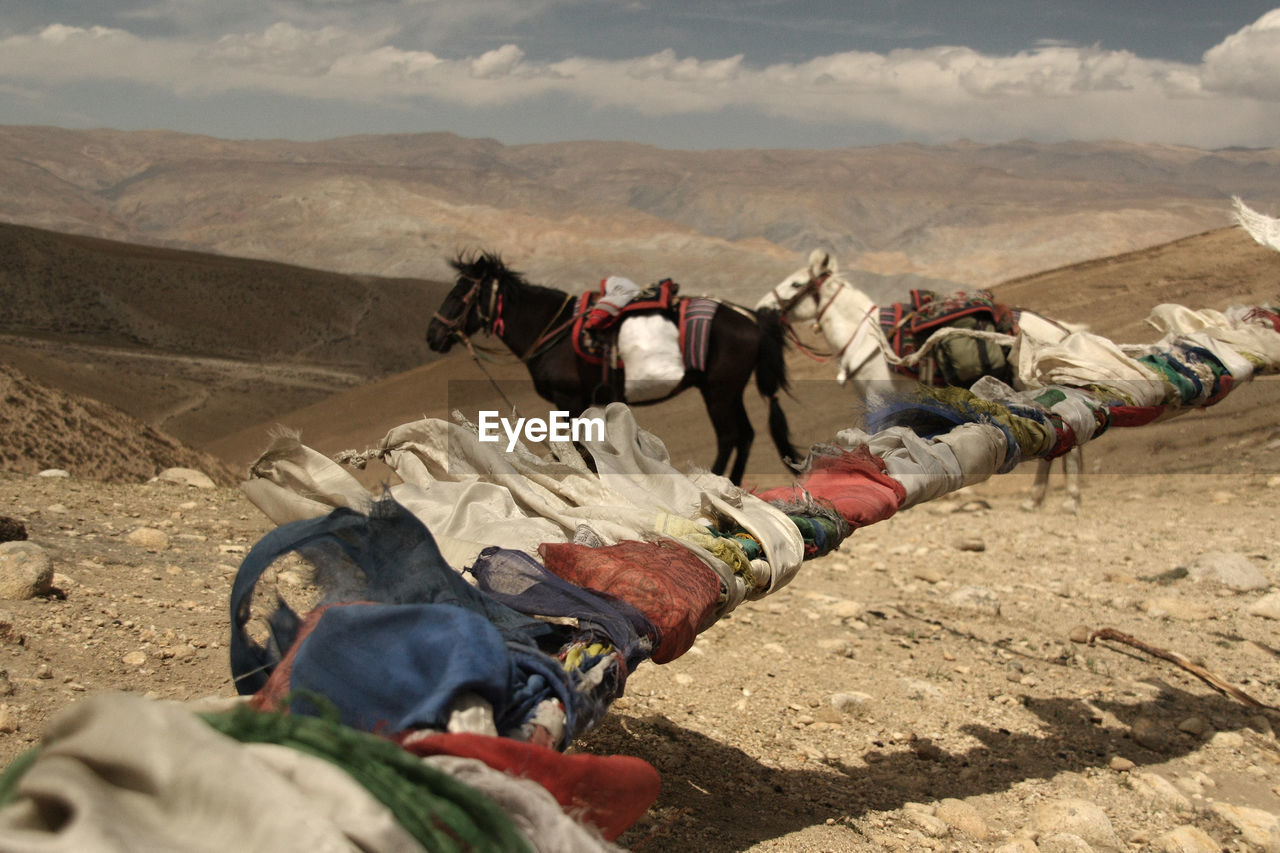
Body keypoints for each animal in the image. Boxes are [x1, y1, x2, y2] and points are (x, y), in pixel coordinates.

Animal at [424, 249, 793, 481]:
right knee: (746, 435)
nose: (433, 335)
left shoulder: (568, 399)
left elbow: (576, 446)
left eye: (458, 293)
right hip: (730, 391)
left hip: (718, 391)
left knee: (730, 436)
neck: (552, 329)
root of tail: (751, 318)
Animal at [757, 245, 1090, 512]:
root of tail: (1063, 332)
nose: (762, 308)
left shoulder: (877, 395)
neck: (867, 337)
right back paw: (1035, 500)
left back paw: (1069, 501)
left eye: (796, 283)